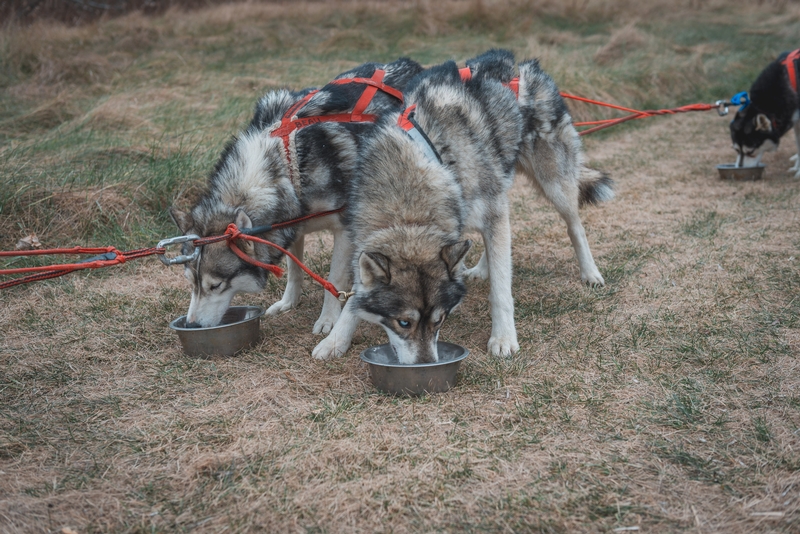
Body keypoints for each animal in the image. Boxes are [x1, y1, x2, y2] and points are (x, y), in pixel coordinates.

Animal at [170, 56, 424, 328]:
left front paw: (328, 319)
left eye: (215, 285)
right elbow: (294, 270)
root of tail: (409, 63)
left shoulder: (343, 230)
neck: (287, 163)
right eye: (190, 283)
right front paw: (288, 302)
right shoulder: (292, 225)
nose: (191, 325)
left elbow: (333, 280)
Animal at [312, 50, 612, 364]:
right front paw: (335, 340)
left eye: (440, 320)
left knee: (574, 226)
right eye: (403, 322)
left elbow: (501, 290)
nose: (426, 365)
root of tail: (523, 64)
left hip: (554, 186)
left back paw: (590, 273)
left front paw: (503, 338)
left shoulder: (492, 213)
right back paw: (482, 268)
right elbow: (354, 301)